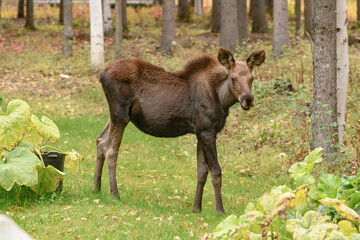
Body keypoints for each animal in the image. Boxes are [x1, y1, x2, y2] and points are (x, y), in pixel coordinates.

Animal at [94, 47, 266, 214]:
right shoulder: (206, 131)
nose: (248, 99)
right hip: (120, 114)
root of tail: (101, 75)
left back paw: (96, 188)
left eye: (252, 78)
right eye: (233, 78)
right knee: (111, 149)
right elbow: (216, 171)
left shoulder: (201, 132)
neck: (222, 100)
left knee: (100, 140)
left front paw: (196, 208)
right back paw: (115, 194)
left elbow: (201, 172)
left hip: (116, 116)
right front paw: (220, 210)